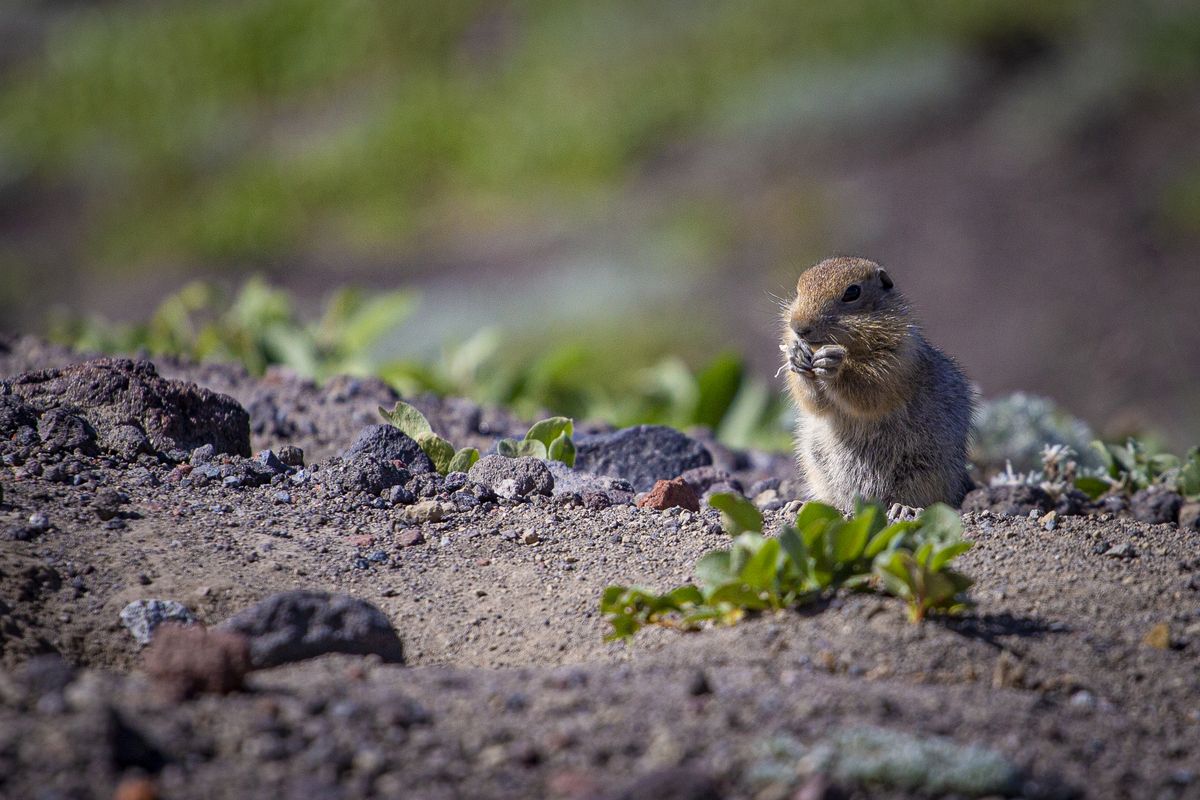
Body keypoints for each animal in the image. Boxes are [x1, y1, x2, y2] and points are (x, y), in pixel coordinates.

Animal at [777, 260, 974, 515]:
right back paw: (800, 505)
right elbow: (813, 403)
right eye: (799, 288)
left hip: (929, 471)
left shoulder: (897, 359)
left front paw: (834, 363)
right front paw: (797, 356)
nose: (798, 327)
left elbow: (871, 389)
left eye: (852, 292)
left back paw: (904, 508)